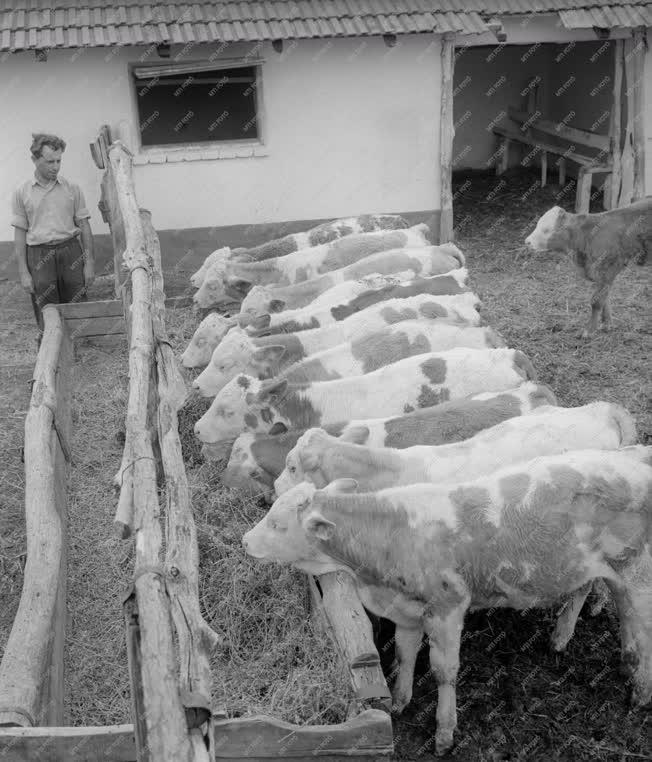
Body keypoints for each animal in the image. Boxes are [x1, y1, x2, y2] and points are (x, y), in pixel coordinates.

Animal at [243, 448, 652, 752]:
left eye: (278, 524)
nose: (245, 541)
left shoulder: (448, 607)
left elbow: (443, 670)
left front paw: (443, 733)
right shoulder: (407, 610)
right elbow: (405, 654)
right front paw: (400, 700)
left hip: (638, 575)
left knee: (642, 631)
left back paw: (640, 693)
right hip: (598, 569)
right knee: (610, 606)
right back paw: (600, 655)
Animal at [524, 199, 652, 336]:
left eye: (546, 230)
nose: (527, 242)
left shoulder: (608, 270)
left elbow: (596, 302)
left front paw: (589, 331)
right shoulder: (599, 275)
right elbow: (604, 298)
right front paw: (606, 324)